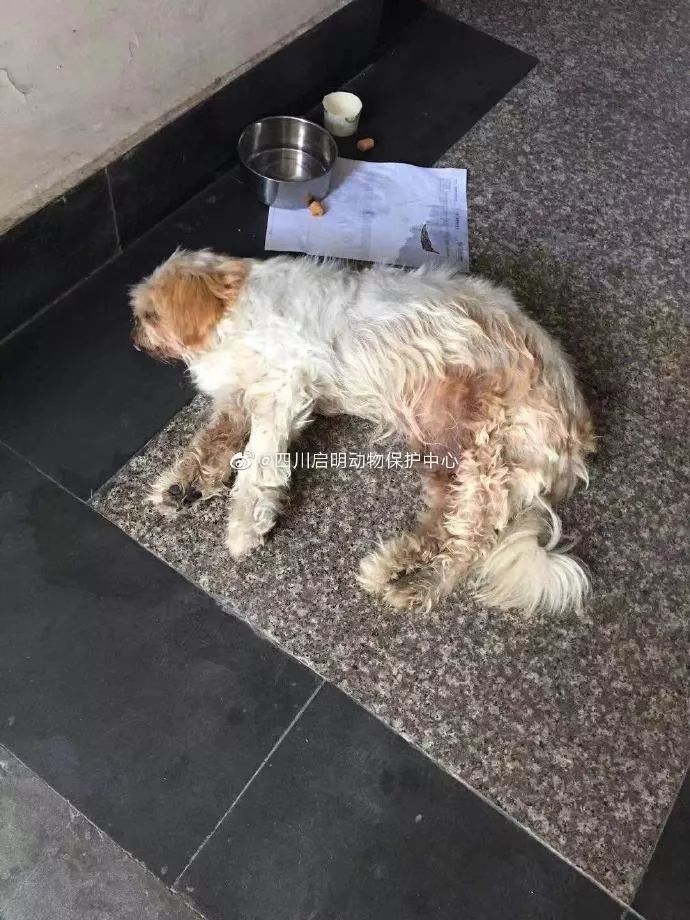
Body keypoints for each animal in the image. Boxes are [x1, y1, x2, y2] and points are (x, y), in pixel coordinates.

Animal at [130, 248, 595, 615]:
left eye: (149, 316)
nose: (135, 341)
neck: (233, 311)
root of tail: (576, 435)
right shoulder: (242, 396)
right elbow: (214, 440)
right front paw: (181, 486)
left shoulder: (282, 389)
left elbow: (256, 467)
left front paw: (244, 526)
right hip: (447, 458)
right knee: (443, 529)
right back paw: (392, 568)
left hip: (487, 454)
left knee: (471, 542)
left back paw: (416, 587)